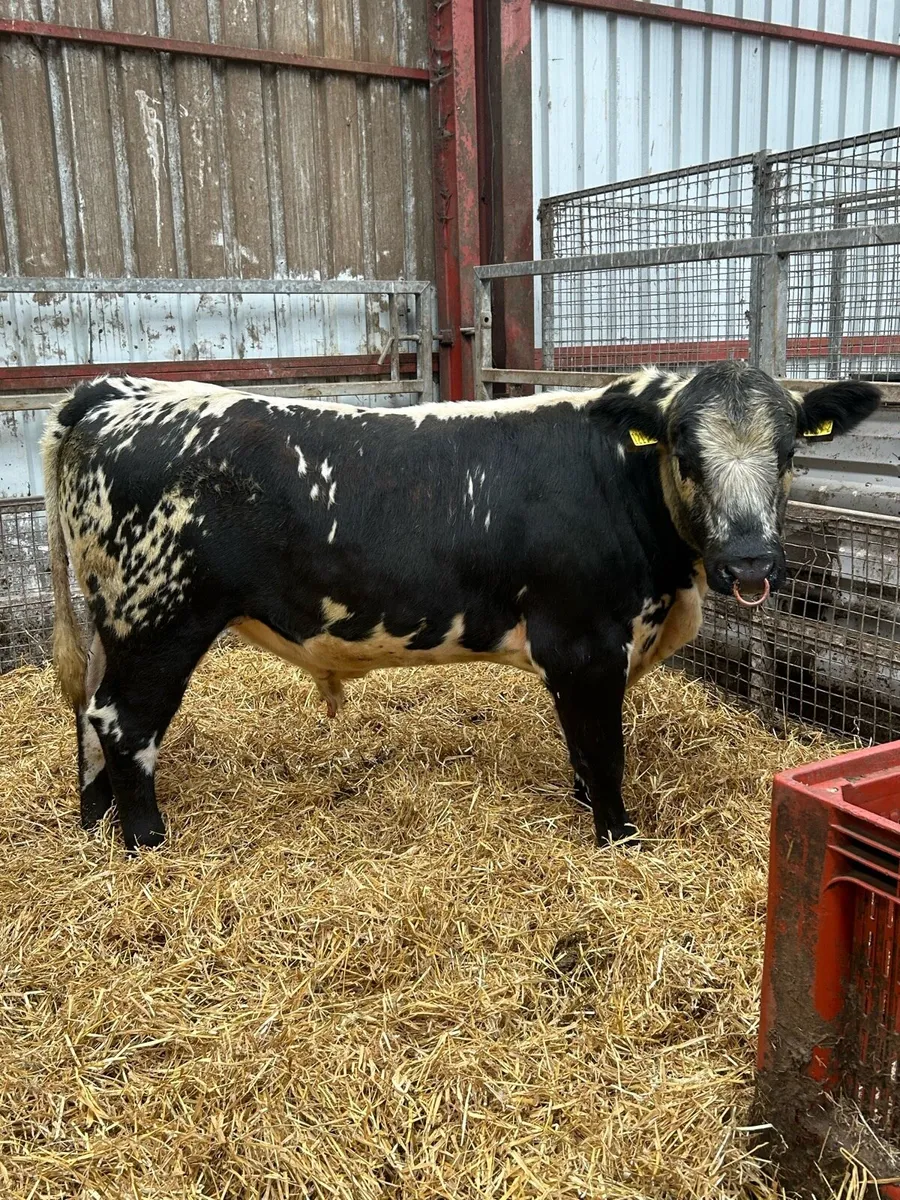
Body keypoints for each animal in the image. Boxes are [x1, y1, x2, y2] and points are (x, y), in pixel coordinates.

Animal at [41, 362, 879, 852]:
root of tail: (122, 391)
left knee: (89, 714)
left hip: (116, 619)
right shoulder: (585, 644)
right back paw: (146, 840)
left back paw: (94, 815)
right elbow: (604, 748)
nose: (751, 561)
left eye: (792, 450)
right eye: (683, 447)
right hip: (158, 616)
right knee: (125, 723)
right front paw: (618, 837)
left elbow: (583, 749)